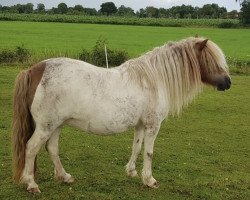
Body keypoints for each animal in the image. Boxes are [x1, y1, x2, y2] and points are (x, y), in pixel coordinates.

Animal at [11, 36, 230, 193]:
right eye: (211, 60)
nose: (228, 82)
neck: (154, 79)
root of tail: (35, 69)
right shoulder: (153, 126)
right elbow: (149, 152)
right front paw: (149, 180)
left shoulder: (140, 125)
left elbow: (136, 147)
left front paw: (131, 171)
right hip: (45, 126)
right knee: (31, 148)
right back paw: (32, 184)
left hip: (56, 125)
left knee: (52, 149)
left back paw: (65, 177)